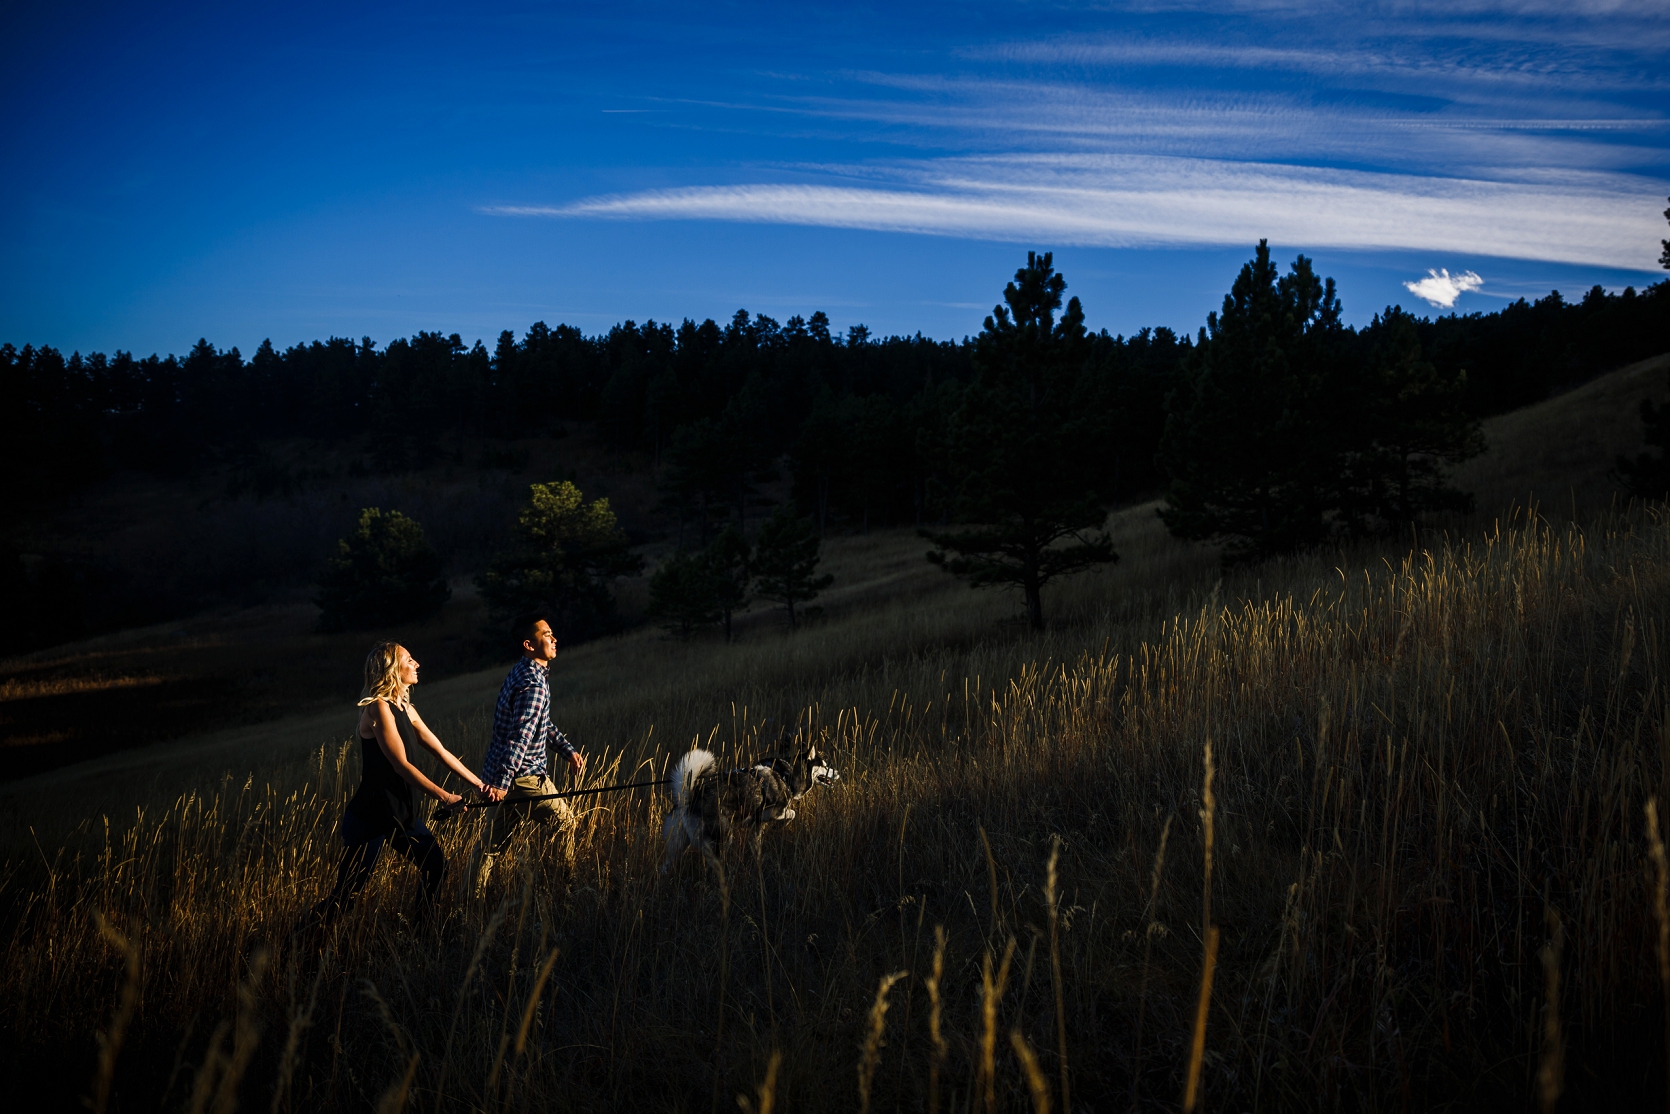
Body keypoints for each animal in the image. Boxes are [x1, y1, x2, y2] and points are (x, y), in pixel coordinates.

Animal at [661, 744, 841, 875]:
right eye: (824, 766)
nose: (838, 772)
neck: (788, 774)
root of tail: (689, 799)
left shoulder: (757, 824)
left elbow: (756, 842)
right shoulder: (772, 811)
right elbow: (791, 813)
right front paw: (780, 825)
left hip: (677, 845)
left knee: (666, 865)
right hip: (723, 838)